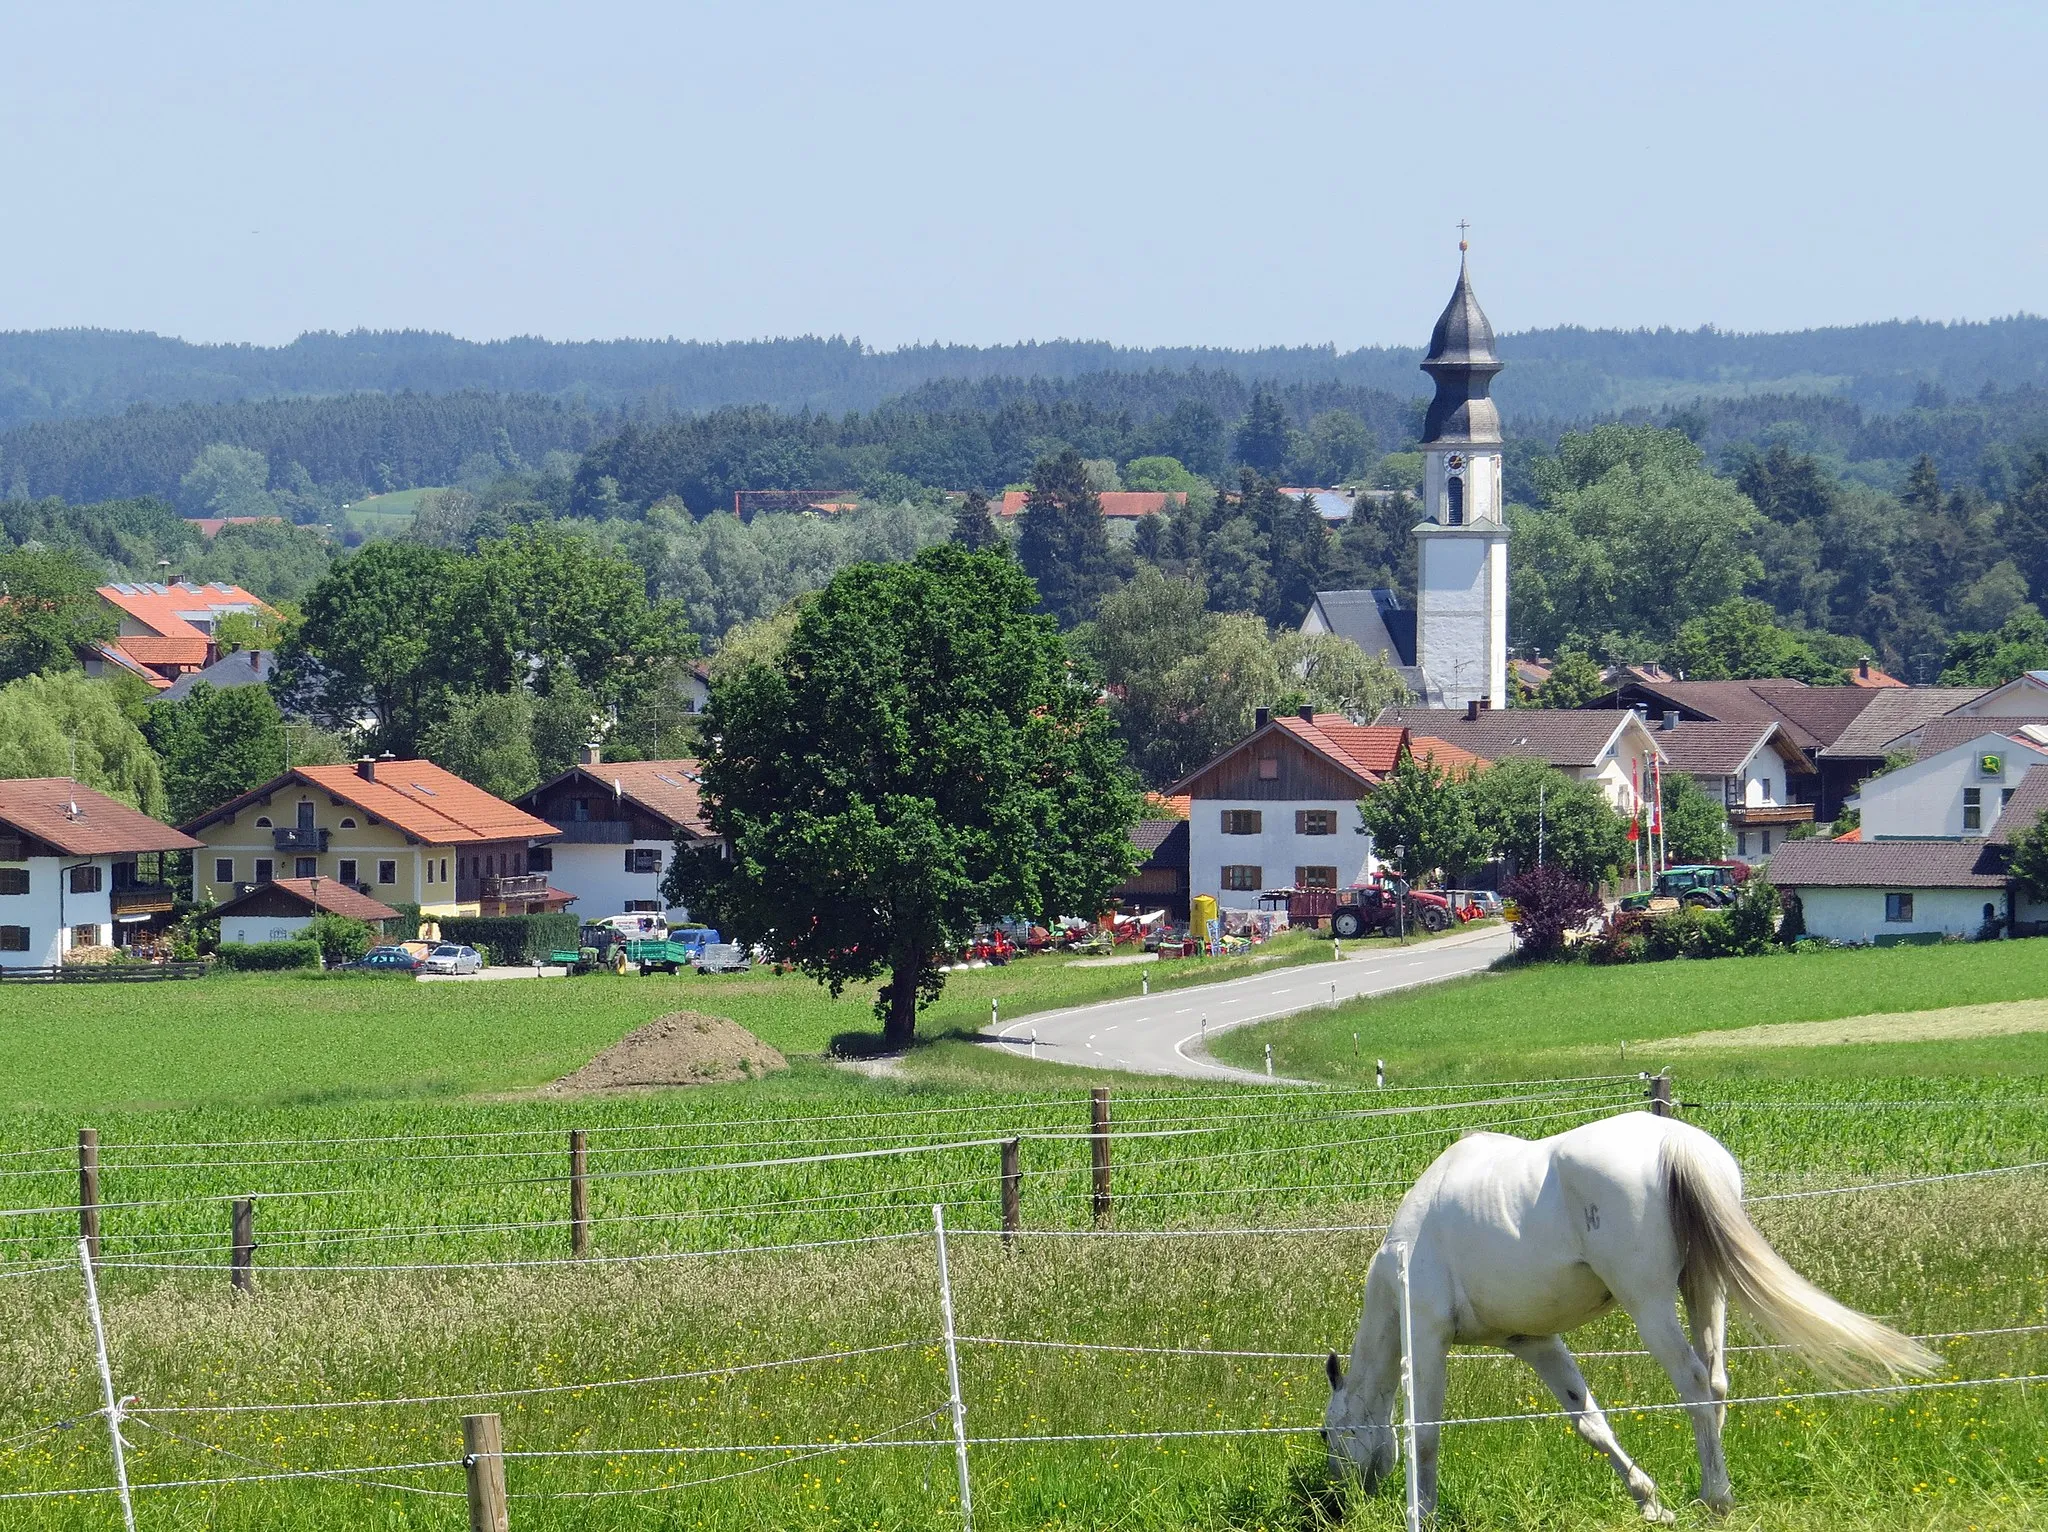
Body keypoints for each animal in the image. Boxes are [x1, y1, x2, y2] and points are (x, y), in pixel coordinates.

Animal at [1327, 1114, 1933, 1523]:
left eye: (1328, 1433)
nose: (1342, 1500)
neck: (1401, 1256)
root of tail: (1673, 1141)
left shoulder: (1428, 1334)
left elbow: (1425, 1431)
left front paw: (1422, 1512)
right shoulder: (1535, 1341)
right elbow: (1589, 1422)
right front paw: (1649, 1502)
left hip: (1651, 1305)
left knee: (1693, 1381)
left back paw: (1717, 1498)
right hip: (1705, 1290)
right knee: (1716, 1380)